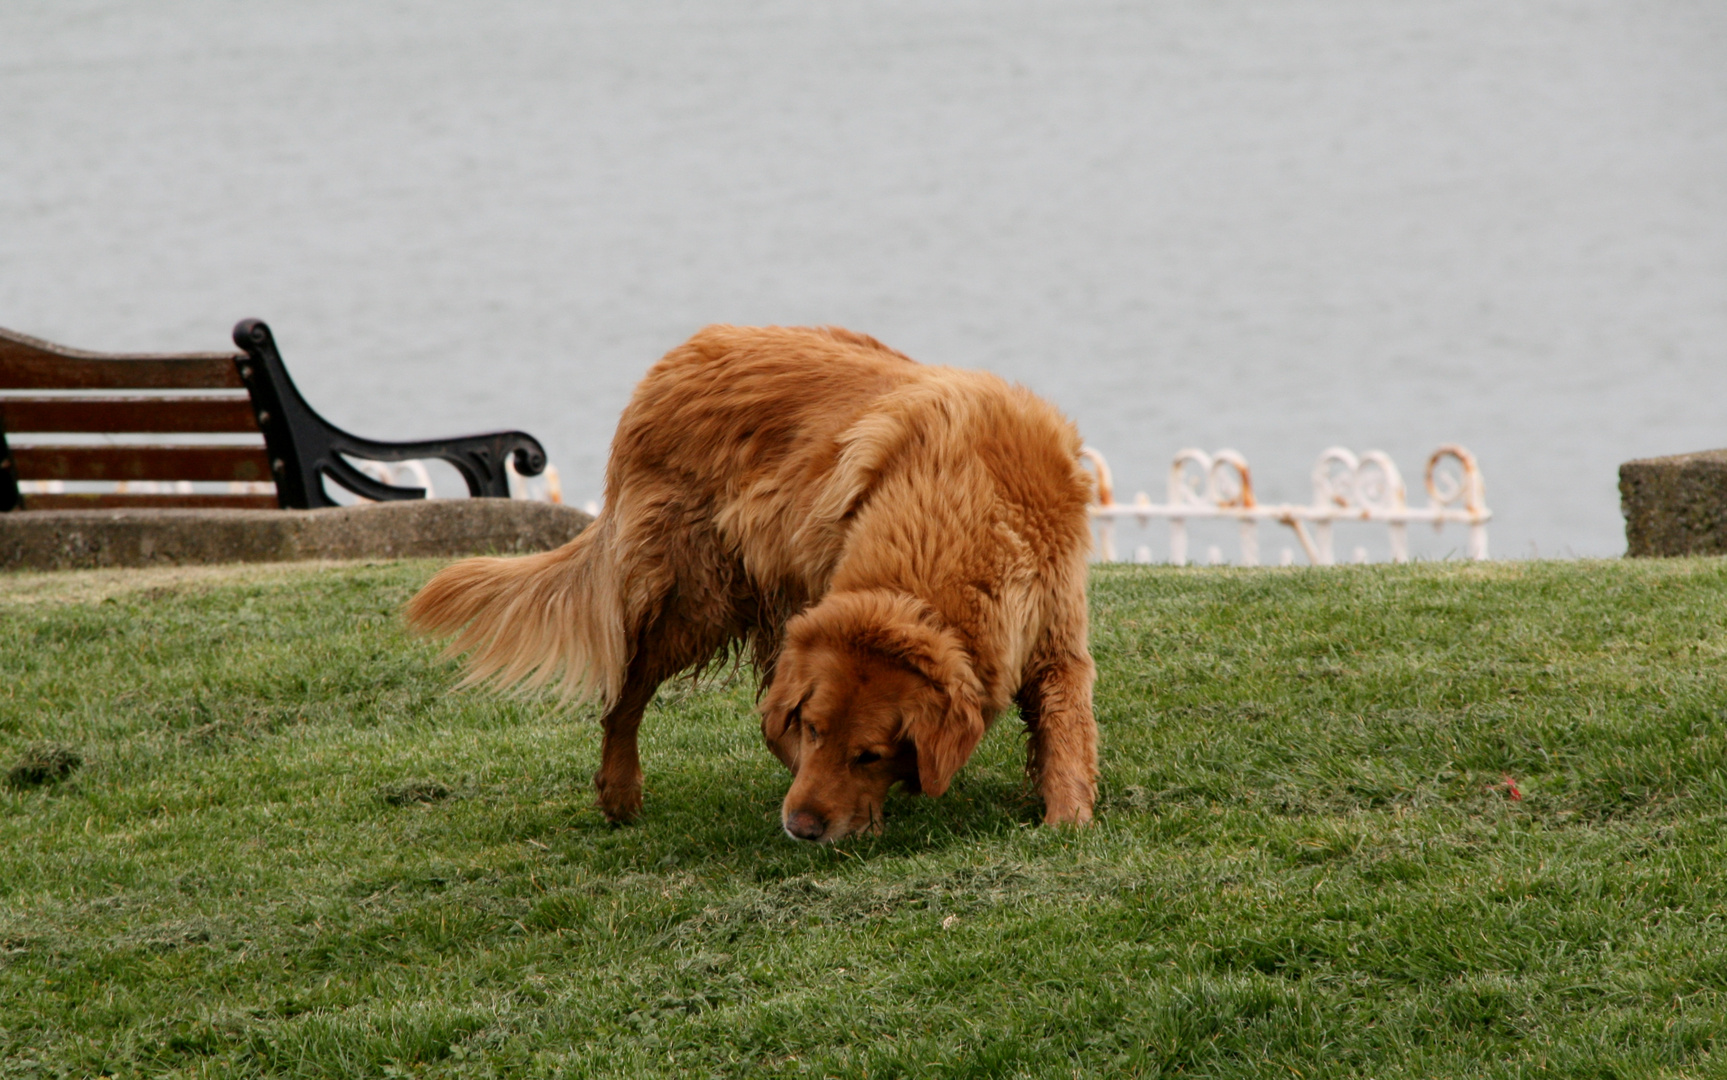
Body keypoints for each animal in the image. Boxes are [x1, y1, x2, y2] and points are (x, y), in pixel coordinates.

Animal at [404, 324, 1091, 839]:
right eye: (816, 730)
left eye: (869, 754)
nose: (803, 827)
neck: (971, 500)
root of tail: (661, 373)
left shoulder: (1055, 631)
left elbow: (1068, 726)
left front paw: (1067, 818)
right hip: (698, 599)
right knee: (629, 693)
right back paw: (620, 792)